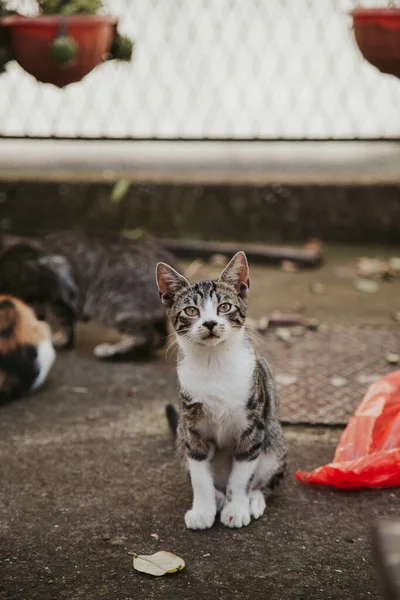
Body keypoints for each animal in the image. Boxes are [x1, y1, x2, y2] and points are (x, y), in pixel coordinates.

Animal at [0, 232, 179, 358]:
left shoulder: (58, 288)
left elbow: (62, 319)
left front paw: (61, 339)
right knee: (159, 336)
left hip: (109, 303)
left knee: (146, 336)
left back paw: (111, 351)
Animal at [155, 250, 286, 528]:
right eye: (191, 310)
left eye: (224, 307)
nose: (210, 323)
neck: (212, 362)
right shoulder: (191, 428)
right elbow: (199, 476)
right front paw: (202, 510)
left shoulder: (253, 426)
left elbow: (242, 475)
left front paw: (237, 508)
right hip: (181, 438)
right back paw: (217, 496)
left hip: (274, 442)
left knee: (264, 478)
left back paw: (253, 498)